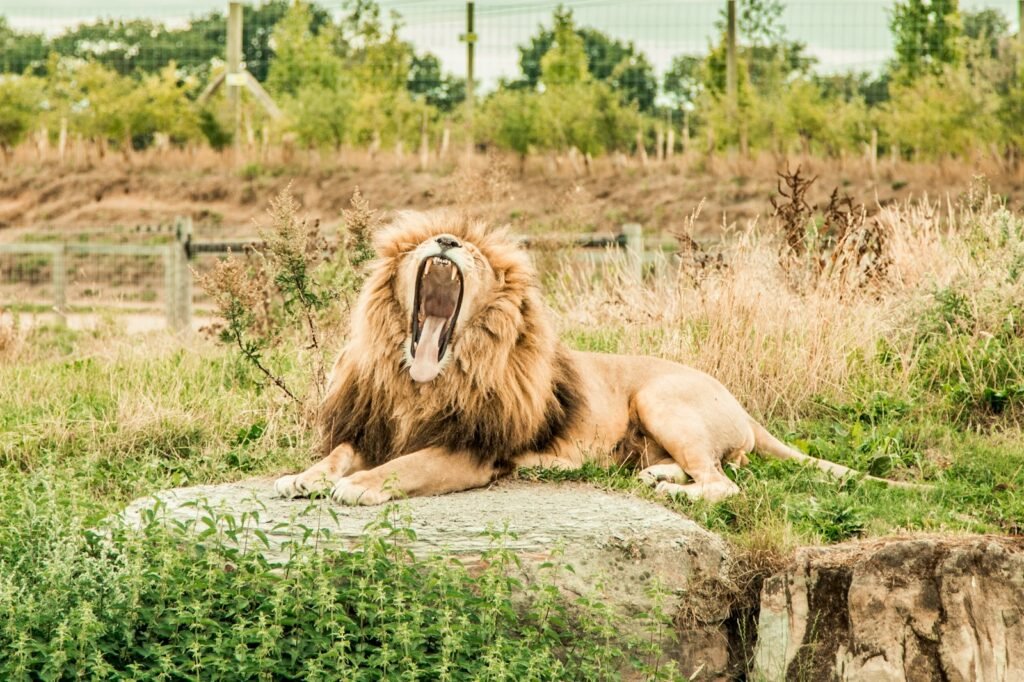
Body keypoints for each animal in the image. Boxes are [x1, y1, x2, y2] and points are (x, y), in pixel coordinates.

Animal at [275, 210, 920, 505]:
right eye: (421, 246)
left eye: (475, 257)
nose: (448, 242)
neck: (422, 381)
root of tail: (743, 407)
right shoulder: (376, 426)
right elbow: (339, 453)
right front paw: (302, 477)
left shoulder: (474, 452)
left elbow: (406, 467)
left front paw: (359, 488)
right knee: (717, 468)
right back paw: (656, 473)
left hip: (662, 397)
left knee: (723, 485)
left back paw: (671, 489)